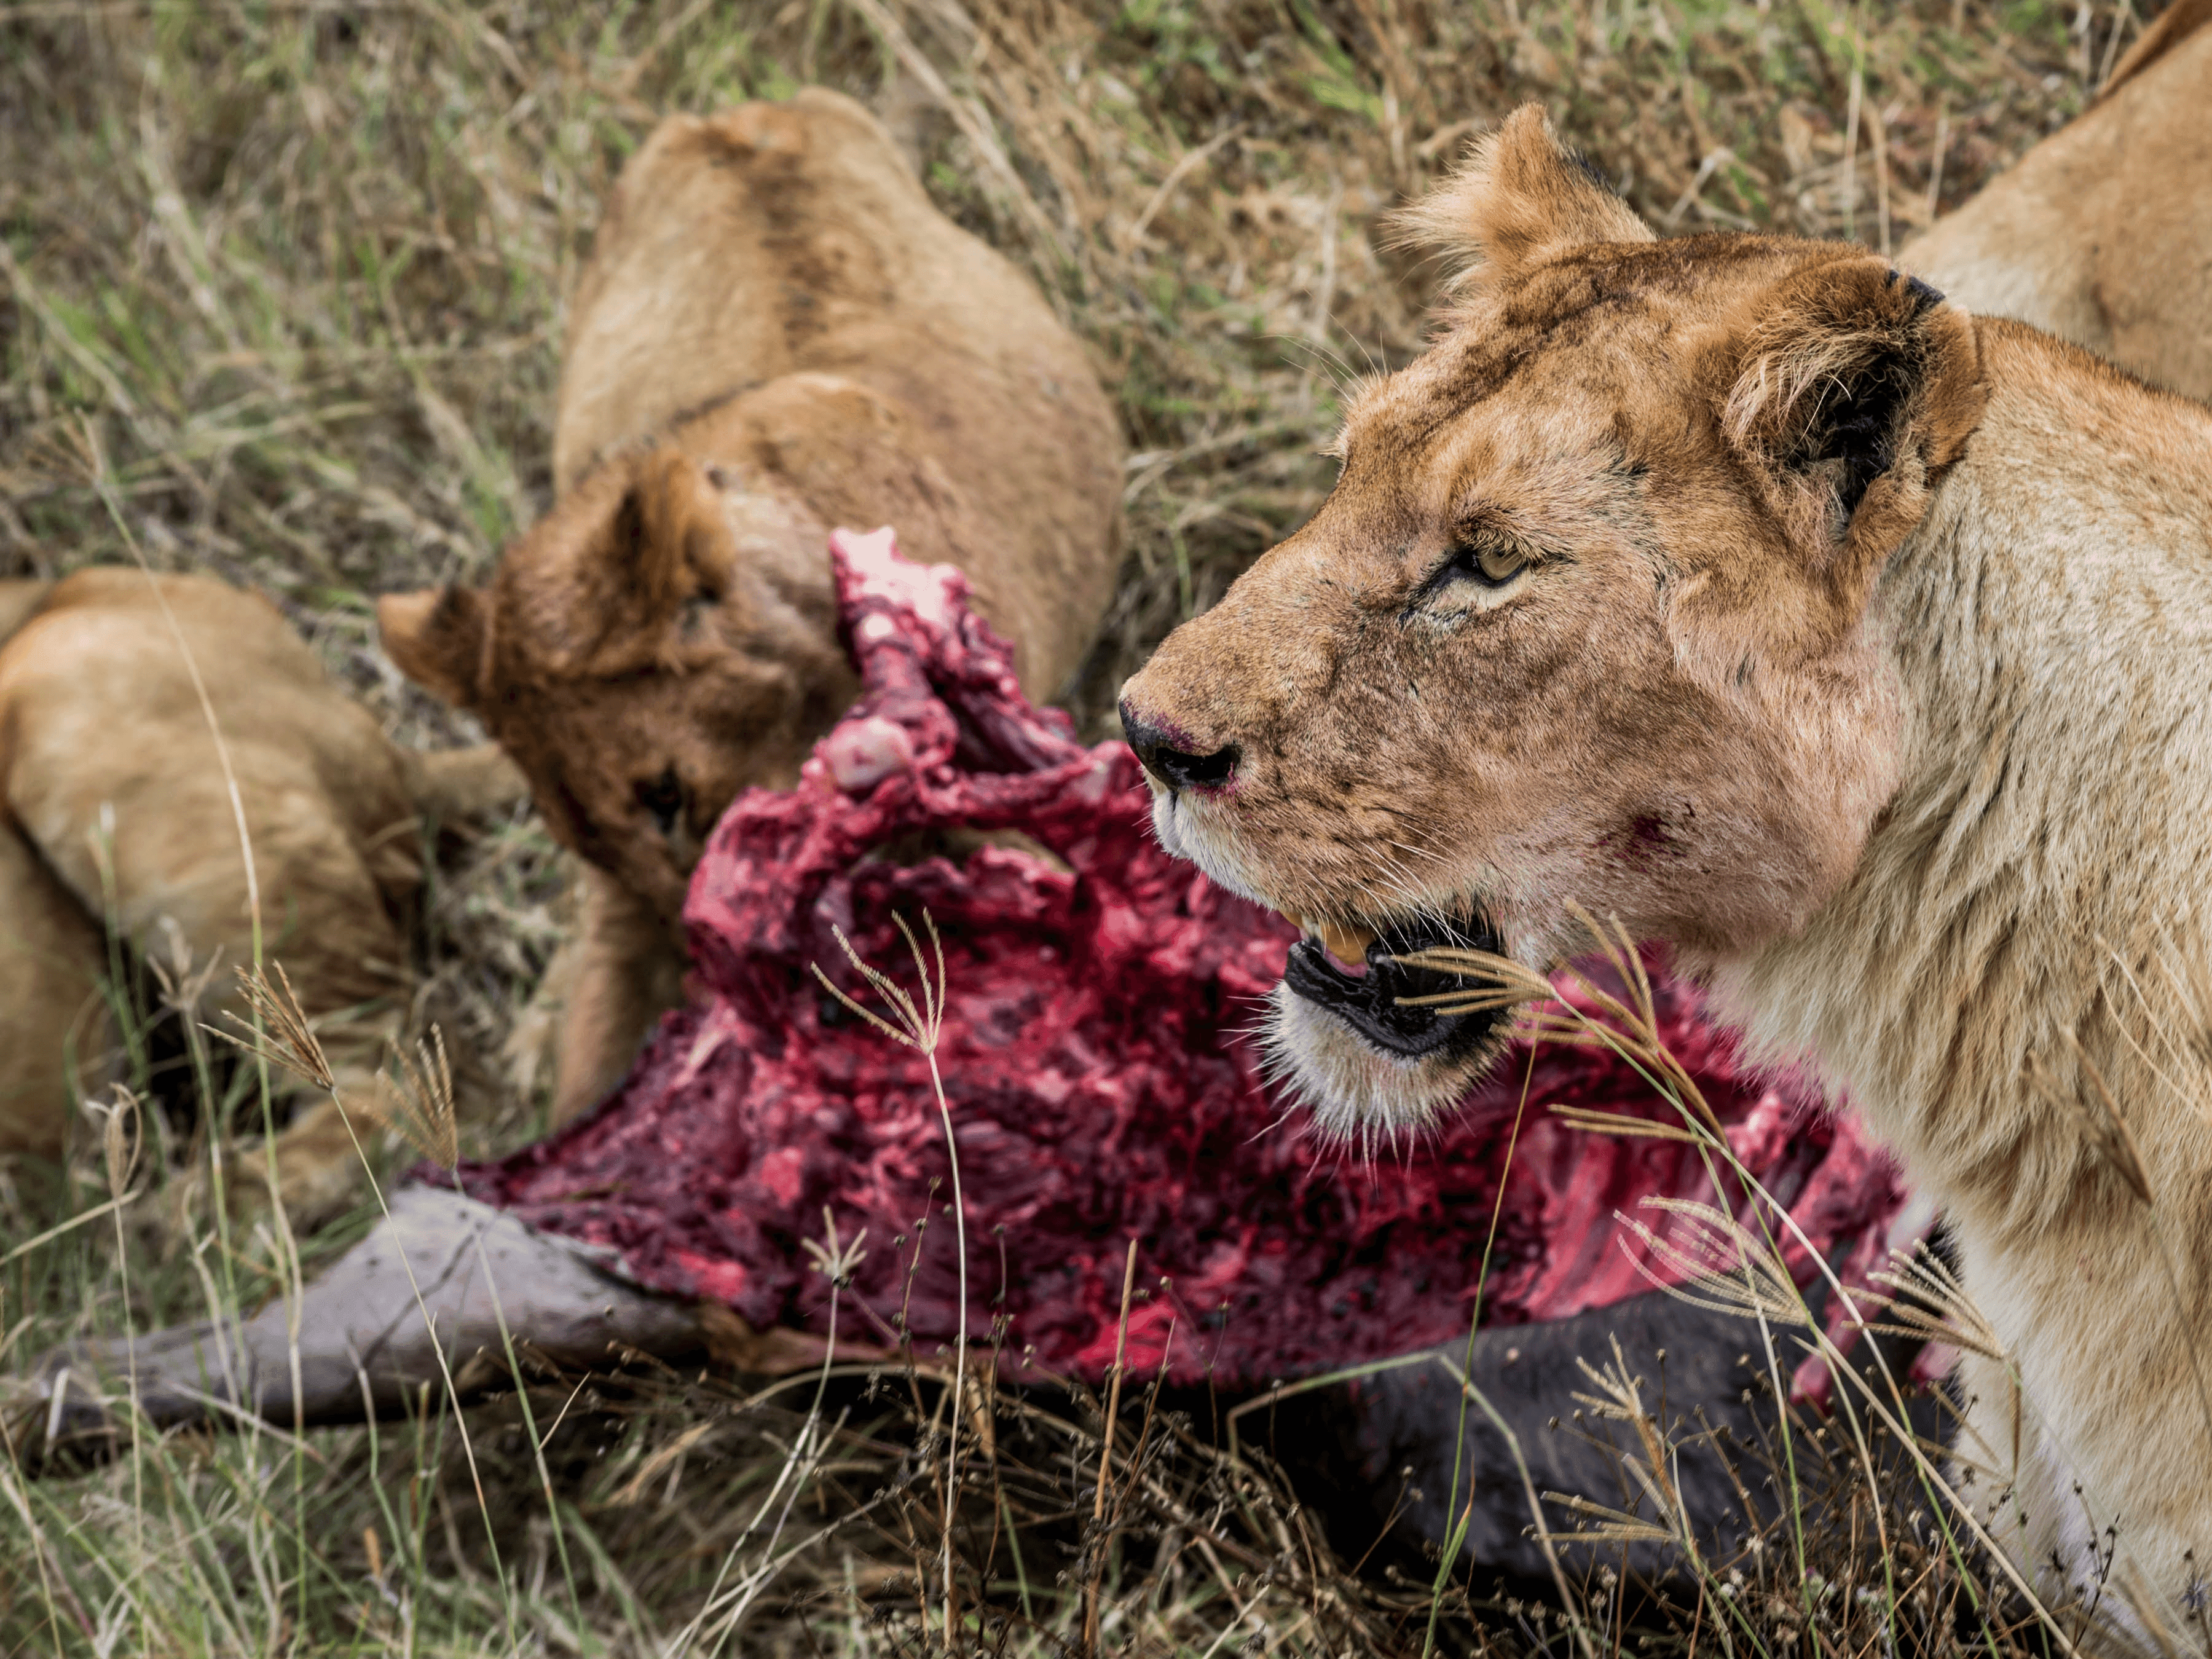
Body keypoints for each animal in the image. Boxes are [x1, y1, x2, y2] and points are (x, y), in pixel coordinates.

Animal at [376, 89, 1125, 1125]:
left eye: (668, 793)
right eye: (588, 834)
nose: (704, 971)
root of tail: (737, 113)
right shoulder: (622, 916)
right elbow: (589, 1063)